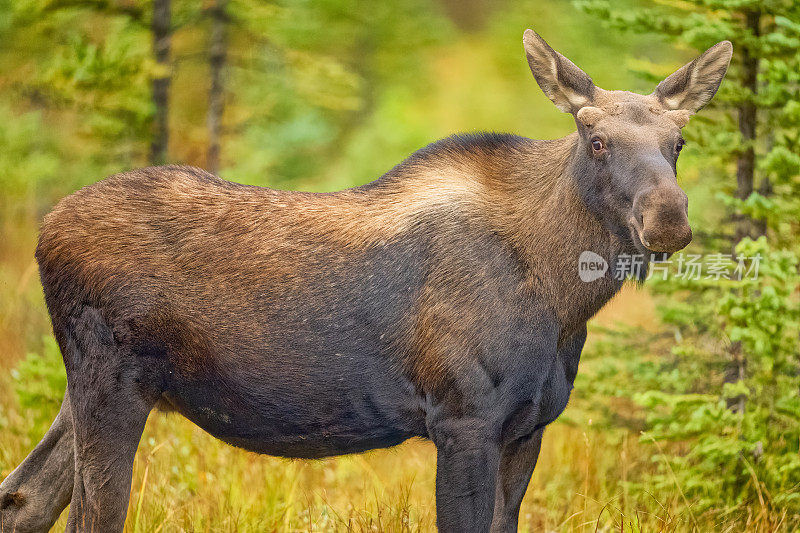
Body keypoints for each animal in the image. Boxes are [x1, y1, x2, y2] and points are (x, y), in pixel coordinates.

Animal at [0, 30, 732, 532]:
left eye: (679, 143)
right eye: (595, 139)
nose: (668, 219)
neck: (562, 300)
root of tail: (45, 232)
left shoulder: (529, 427)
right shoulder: (464, 420)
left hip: (97, 388)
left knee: (24, 496)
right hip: (110, 382)